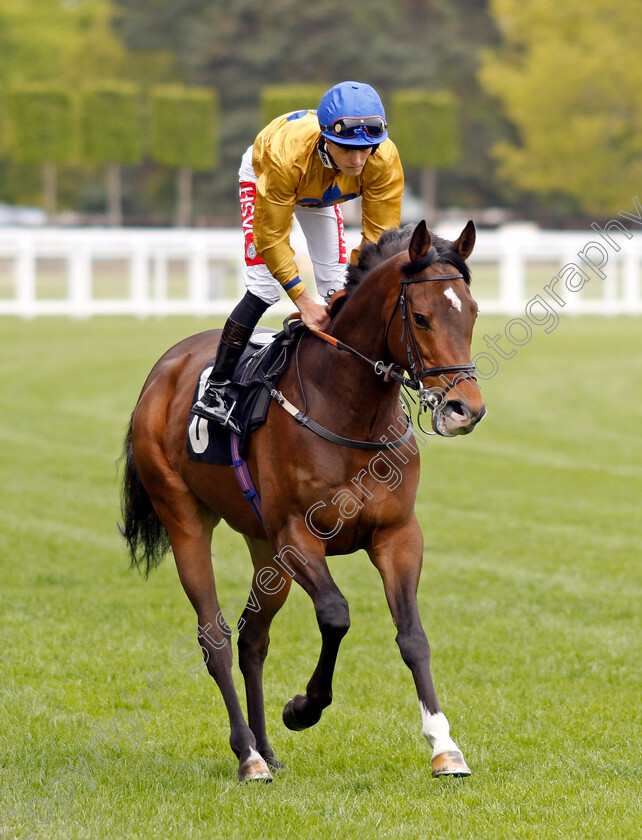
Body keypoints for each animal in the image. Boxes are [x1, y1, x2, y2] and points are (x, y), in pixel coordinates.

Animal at [119, 221, 484, 780]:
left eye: (472, 311)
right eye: (421, 317)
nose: (467, 408)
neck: (351, 411)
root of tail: (163, 370)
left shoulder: (397, 534)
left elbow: (413, 635)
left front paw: (444, 746)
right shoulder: (297, 534)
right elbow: (336, 614)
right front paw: (303, 708)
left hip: (265, 549)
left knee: (252, 638)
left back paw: (265, 748)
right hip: (185, 518)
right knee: (215, 637)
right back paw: (249, 755)